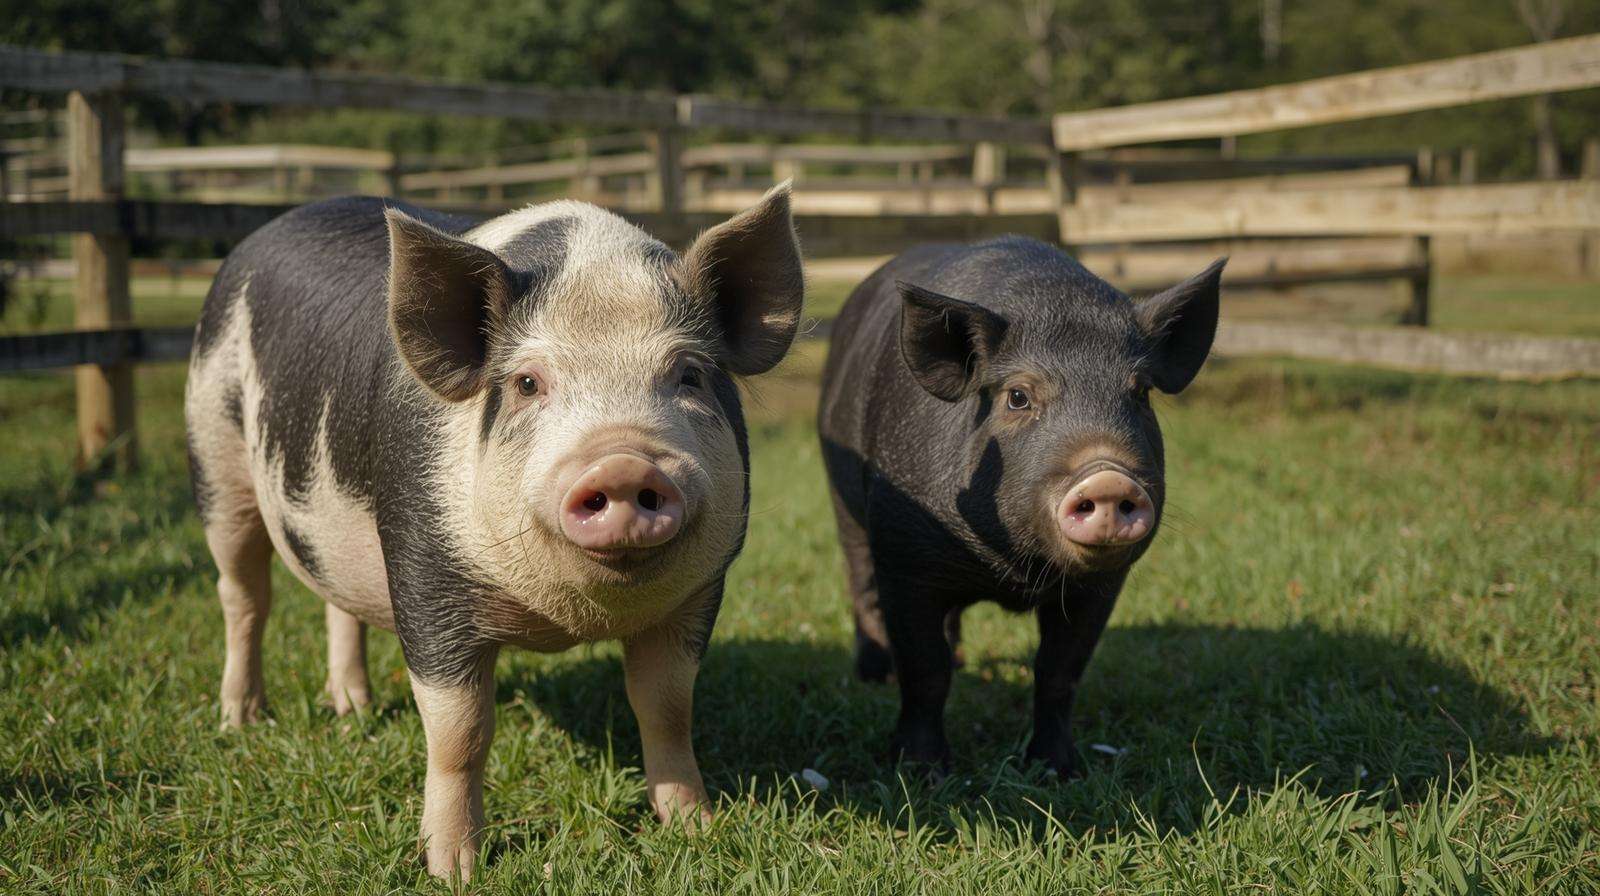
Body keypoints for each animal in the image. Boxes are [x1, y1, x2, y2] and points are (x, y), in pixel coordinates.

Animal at [184, 186, 803, 878]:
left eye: (690, 374)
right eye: (527, 383)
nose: (622, 463)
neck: (565, 621)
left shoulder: (700, 592)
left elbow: (666, 706)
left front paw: (699, 831)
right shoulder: (423, 569)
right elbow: (460, 731)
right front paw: (453, 869)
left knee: (335, 601)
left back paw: (353, 708)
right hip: (215, 456)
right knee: (243, 596)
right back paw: (242, 721)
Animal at [817, 237, 1223, 775]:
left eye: (1140, 394)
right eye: (1017, 396)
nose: (1108, 477)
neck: (1013, 572)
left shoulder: (1101, 587)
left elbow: (1058, 672)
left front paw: (1058, 771)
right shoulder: (904, 555)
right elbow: (925, 669)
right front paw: (923, 771)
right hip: (844, 501)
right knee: (861, 586)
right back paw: (873, 676)